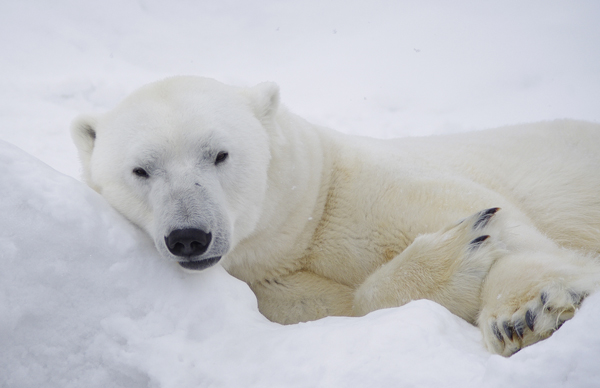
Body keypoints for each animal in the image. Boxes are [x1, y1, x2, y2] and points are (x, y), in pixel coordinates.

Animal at [71, 76, 600, 358]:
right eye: (141, 169)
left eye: (219, 154)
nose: (188, 236)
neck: (302, 226)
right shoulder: (270, 282)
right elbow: (339, 305)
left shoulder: (366, 186)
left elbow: (502, 222)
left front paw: (526, 312)